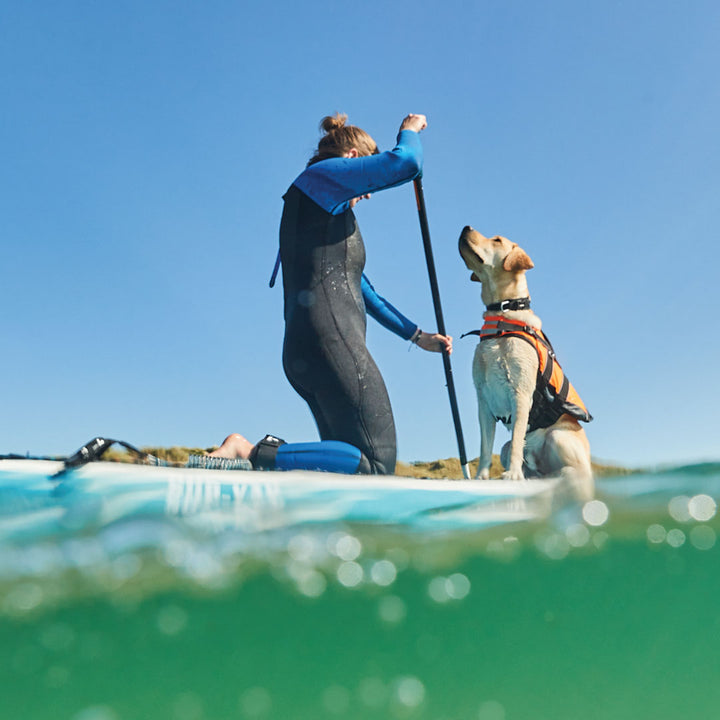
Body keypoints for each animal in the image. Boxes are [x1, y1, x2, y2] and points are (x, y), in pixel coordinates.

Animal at [458, 228, 592, 498]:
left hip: (558, 437)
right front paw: (481, 478)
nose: (465, 228)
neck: (501, 316)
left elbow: (519, 432)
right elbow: (485, 446)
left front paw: (512, 476)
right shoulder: (483, 400)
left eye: (497, 240)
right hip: (506, 447)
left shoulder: (521, 392)